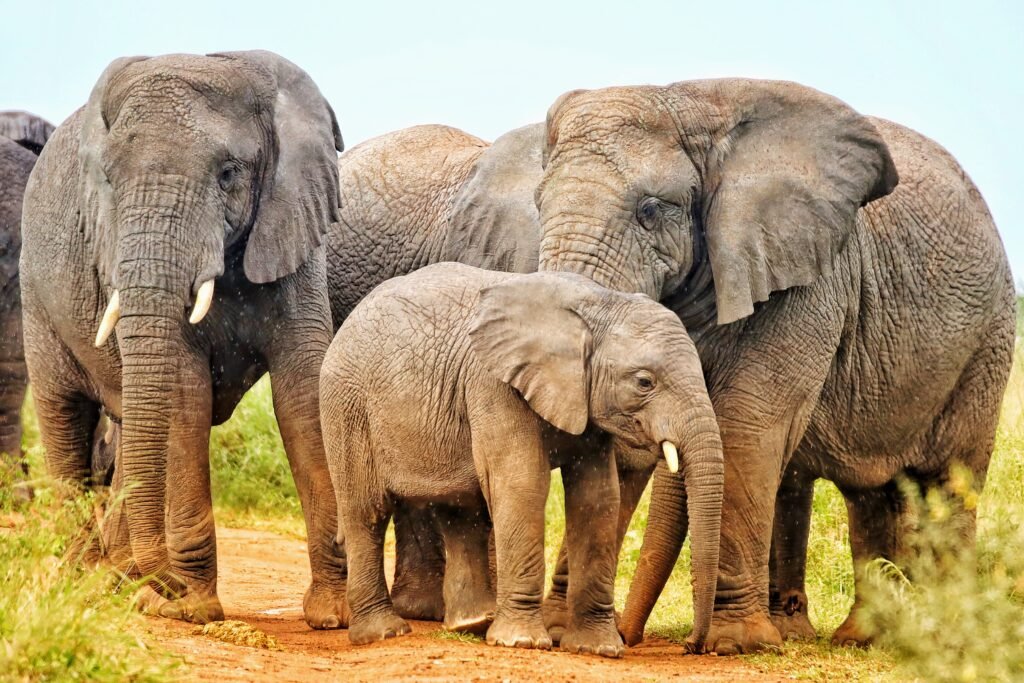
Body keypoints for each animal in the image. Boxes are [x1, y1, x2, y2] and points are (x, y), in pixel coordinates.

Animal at [20, 51, 350, 628]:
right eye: (108, 180)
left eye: (228, 174)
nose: (166, 587)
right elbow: (184, 397)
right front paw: (193, 609)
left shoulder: (293, 230)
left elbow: (302, 394)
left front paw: (332, 615)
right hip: (35, 296)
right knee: (64, 418)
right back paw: (88, 584)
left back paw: (122, 581)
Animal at [319, 262, 724, 656]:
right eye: (644, 382)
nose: (691, 646)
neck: (598, 306)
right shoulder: (493, 384)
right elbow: (523, 483)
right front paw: (521, 642)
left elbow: (598, 498)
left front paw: (597, 648)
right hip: (347, 406)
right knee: (367, 512)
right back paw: (384, 633)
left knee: (462, 511)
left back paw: (473, 623)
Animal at [533, 79, 1015, 653]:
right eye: (537, 203)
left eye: (650, 209)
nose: (635, 638)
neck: (694, 104)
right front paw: (561, 631)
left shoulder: (811, 281)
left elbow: (744, 427)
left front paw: (735, 644)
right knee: (872, 492)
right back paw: (858, 637)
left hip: (987, 343)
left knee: (950, 480)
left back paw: (944, 637)